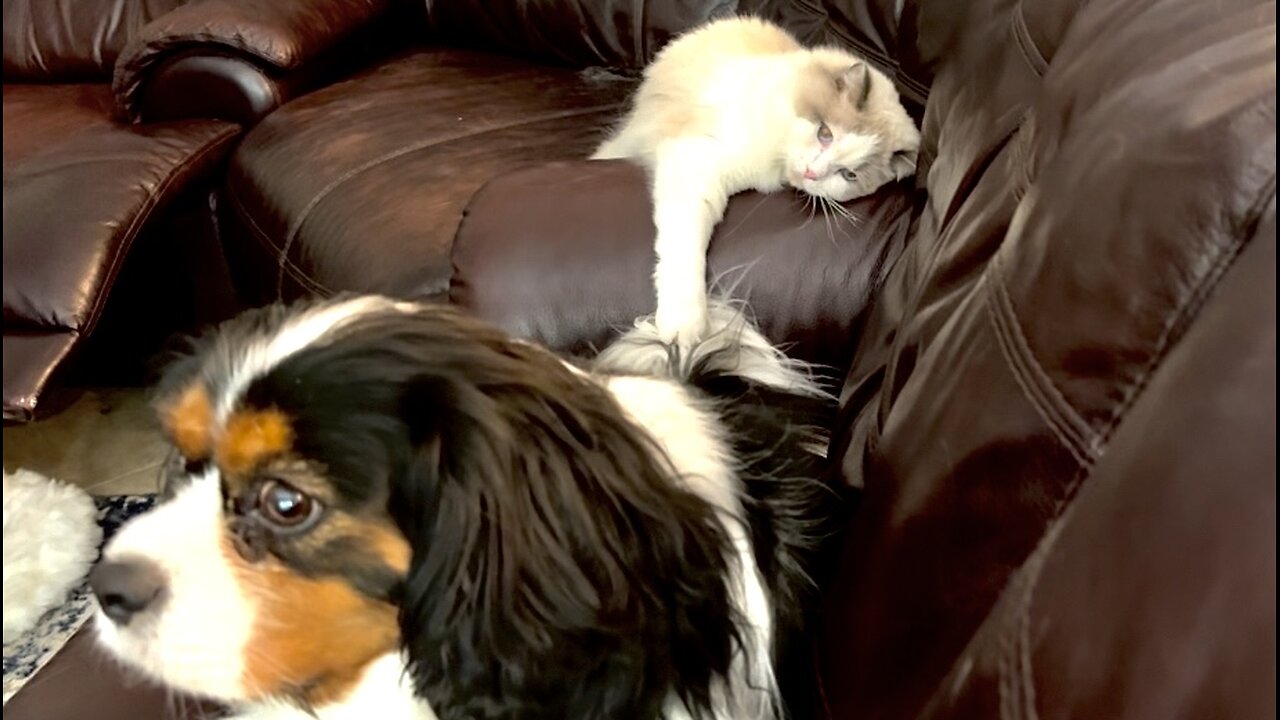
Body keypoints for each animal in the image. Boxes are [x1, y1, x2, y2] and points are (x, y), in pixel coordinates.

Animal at [588, 14, 921, 345]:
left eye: (849, 175)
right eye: (824, 133)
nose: (812, 173)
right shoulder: (693, 162)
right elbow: (685, 246)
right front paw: (683, 326)